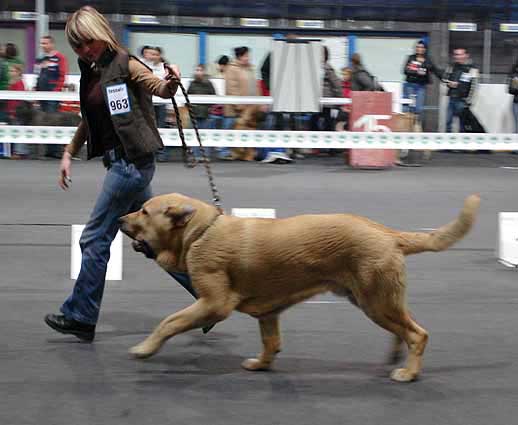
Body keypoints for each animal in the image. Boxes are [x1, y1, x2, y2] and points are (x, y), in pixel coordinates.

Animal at [120, 192, 482, 380]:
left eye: (144, 210)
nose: (120, 218)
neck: (198, 232)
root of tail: (388, 233)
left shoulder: (213, 303)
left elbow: (170, 322)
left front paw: (144, 348)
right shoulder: (268, 312)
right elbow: (271, 342)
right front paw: (262, 365)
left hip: (376, 301)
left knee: (418, 334)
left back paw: (408, 372)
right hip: (376, 300)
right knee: (405, 329)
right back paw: (397, 357)